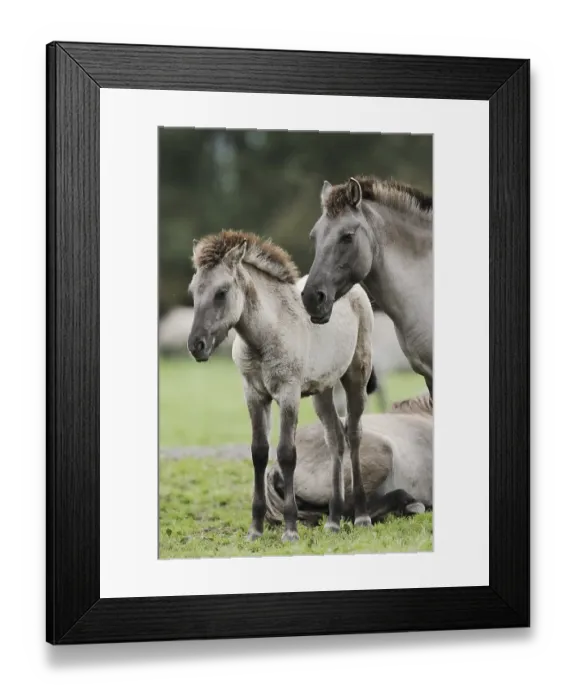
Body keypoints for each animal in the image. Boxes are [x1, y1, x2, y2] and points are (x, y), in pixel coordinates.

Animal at [186, 230, 377, 542]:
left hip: (356, 377)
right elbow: (259, 452)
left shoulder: (288, 394)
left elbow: (287, 454)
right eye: (193, 292)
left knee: (354, 434)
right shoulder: (254, 395)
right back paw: (334, 520)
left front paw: (290, 529)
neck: (265, 336)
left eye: (221, 292)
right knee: (335, 439)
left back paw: (361, 516)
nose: (196, 346)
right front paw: (255, 529)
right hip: (322, 391)